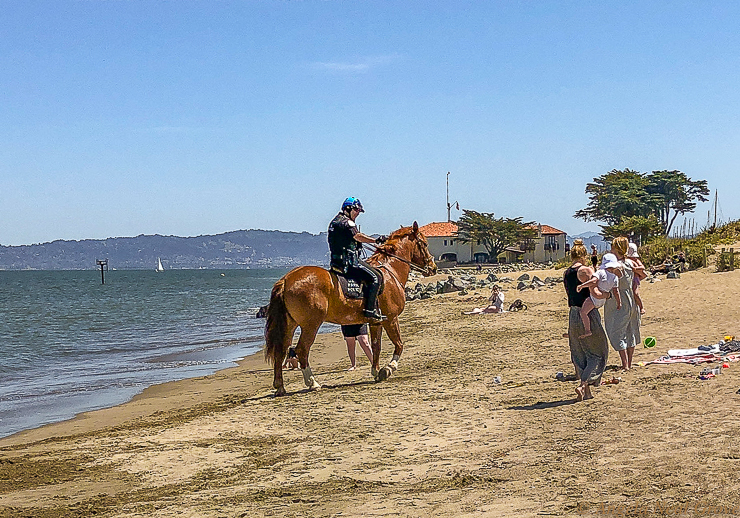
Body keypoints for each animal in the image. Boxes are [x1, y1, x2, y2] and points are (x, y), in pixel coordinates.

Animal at [264, 221, 436, 396]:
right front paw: (388, 369)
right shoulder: (391, 319)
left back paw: (280, 386)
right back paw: (312, 383)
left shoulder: (376, 322)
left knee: (281, 350)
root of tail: (286, 280)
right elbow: (399, 344)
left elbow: (376, 346)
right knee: (301, 350)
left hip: (290, 325)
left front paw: (376, 371)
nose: (433, 267)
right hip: (310, 325)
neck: (390, 271)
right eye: (424, 243)